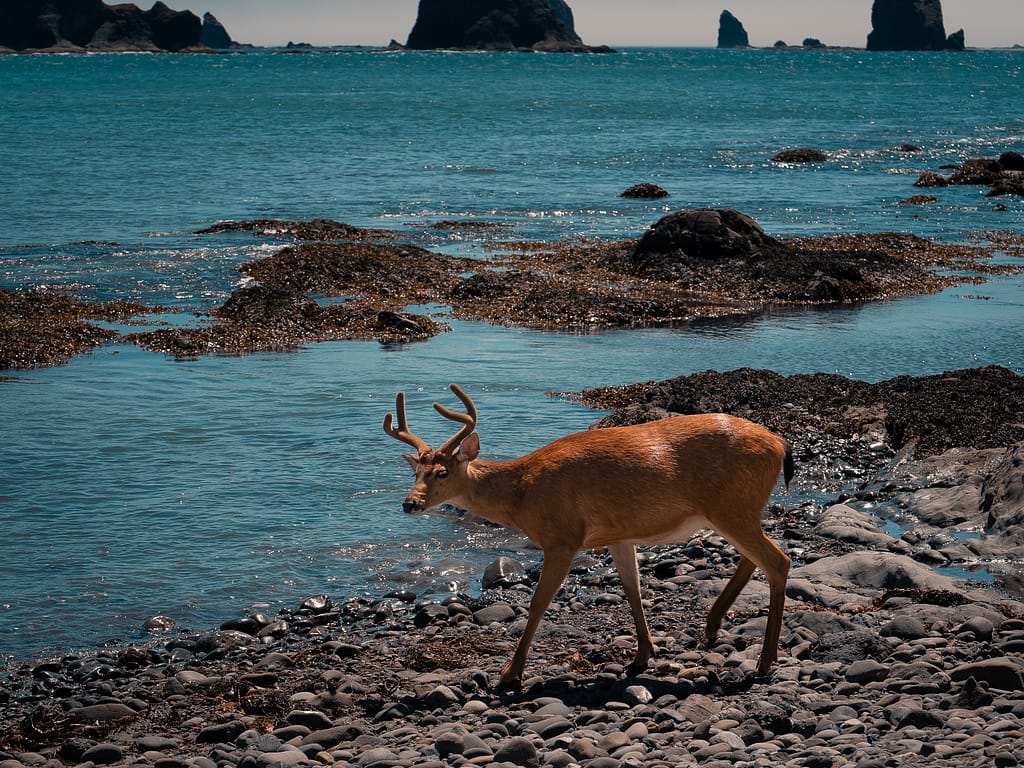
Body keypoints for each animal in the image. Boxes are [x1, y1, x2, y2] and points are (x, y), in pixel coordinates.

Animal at [385, 385, 790, 692]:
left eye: (441, 472)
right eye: (416, 472)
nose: (409, 504)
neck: (521, 494)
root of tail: (780, 444)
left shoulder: (562, 537)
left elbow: (538, 603)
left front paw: (510, 673)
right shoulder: (620, 535)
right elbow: (633, 590)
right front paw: (642, 655)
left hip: (731, 505)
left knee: (778, 560)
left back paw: (764, 660)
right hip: (736, 509)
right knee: (755, 556)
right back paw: (713, 626)